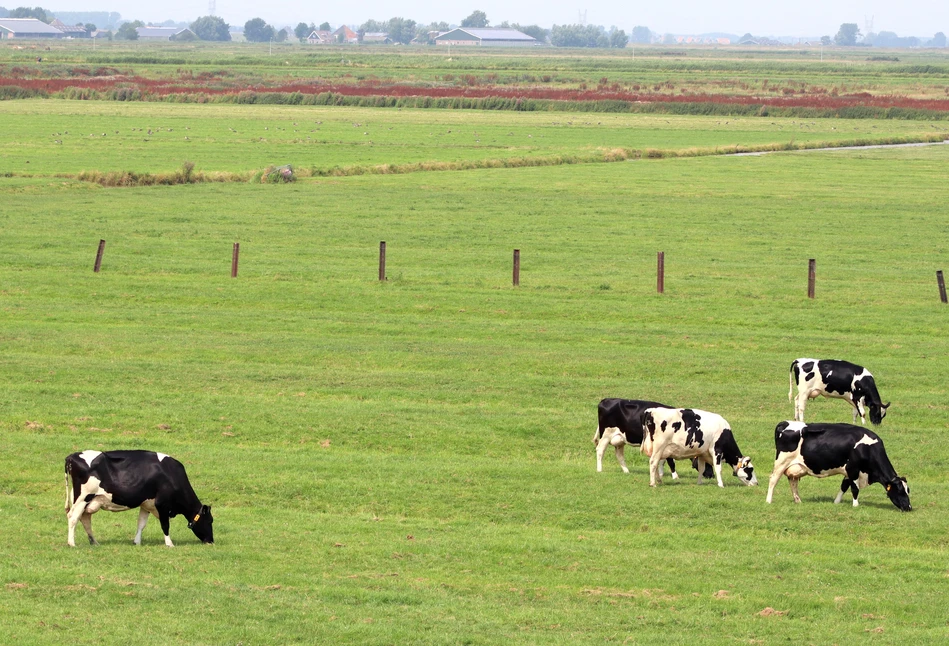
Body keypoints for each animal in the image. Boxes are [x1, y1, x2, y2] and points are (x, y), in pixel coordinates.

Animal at [65, 454, 215, 548]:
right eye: (210, 521)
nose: (211, 541)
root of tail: (72, 456)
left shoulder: (146, 504)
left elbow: (141, 524)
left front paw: (137, 542)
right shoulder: (162, 505)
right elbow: (165, 525)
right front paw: (169, 543)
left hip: (86, 500)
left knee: (85, 519)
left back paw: (94, 542)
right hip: (82, 498)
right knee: (73, 518)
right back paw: (72, 543)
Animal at [764, 422, 912, 512]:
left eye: (908, 490)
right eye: (900, 491)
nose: (909, 507)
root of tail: (785, 423)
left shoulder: (848, 471)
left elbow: (844, 486)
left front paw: (836, 502)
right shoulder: (853, 469)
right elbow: (854, 489)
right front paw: (855, 505)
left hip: (794, 466)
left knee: (793, 482)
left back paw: (798, 501)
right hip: (781, 462)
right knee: (773, 479)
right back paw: (768, 500)